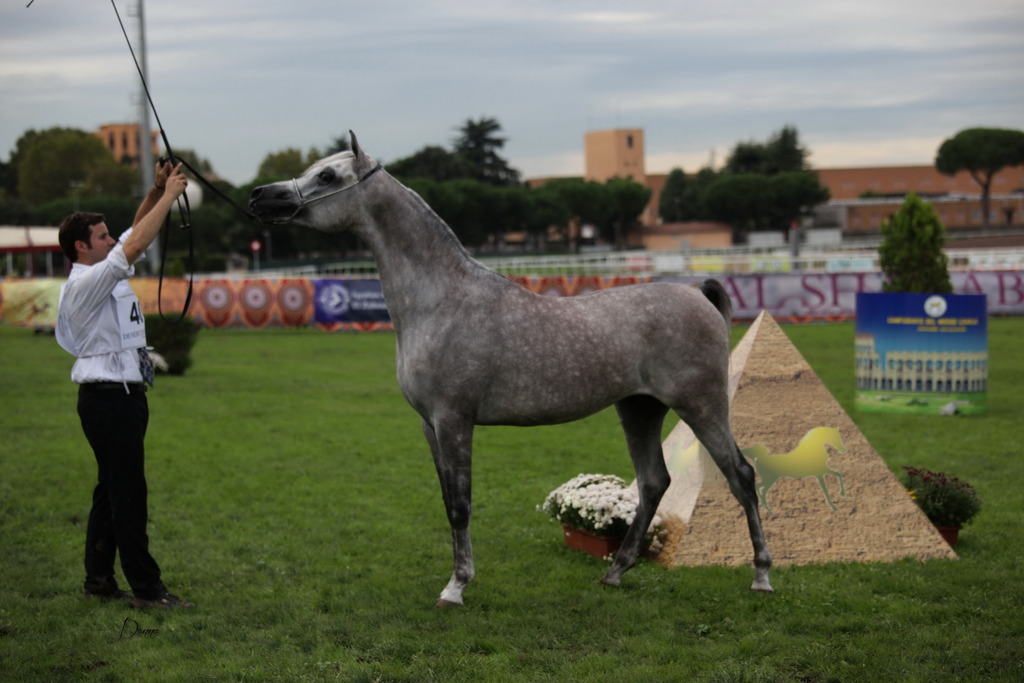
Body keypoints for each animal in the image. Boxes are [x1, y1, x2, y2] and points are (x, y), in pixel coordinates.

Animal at [248, 132, 773, 606]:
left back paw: (762, 576)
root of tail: (696, 291)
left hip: (701, 406)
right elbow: (447, 502)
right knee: (653, 482)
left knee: (740, 475)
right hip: (639, 409)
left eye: (328, 176)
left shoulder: (454, 419)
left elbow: (461, 504)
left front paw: (456, 588)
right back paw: (614, 574)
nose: (261, 196)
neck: (442, 301)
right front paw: (456, 578)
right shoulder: (429, 425)